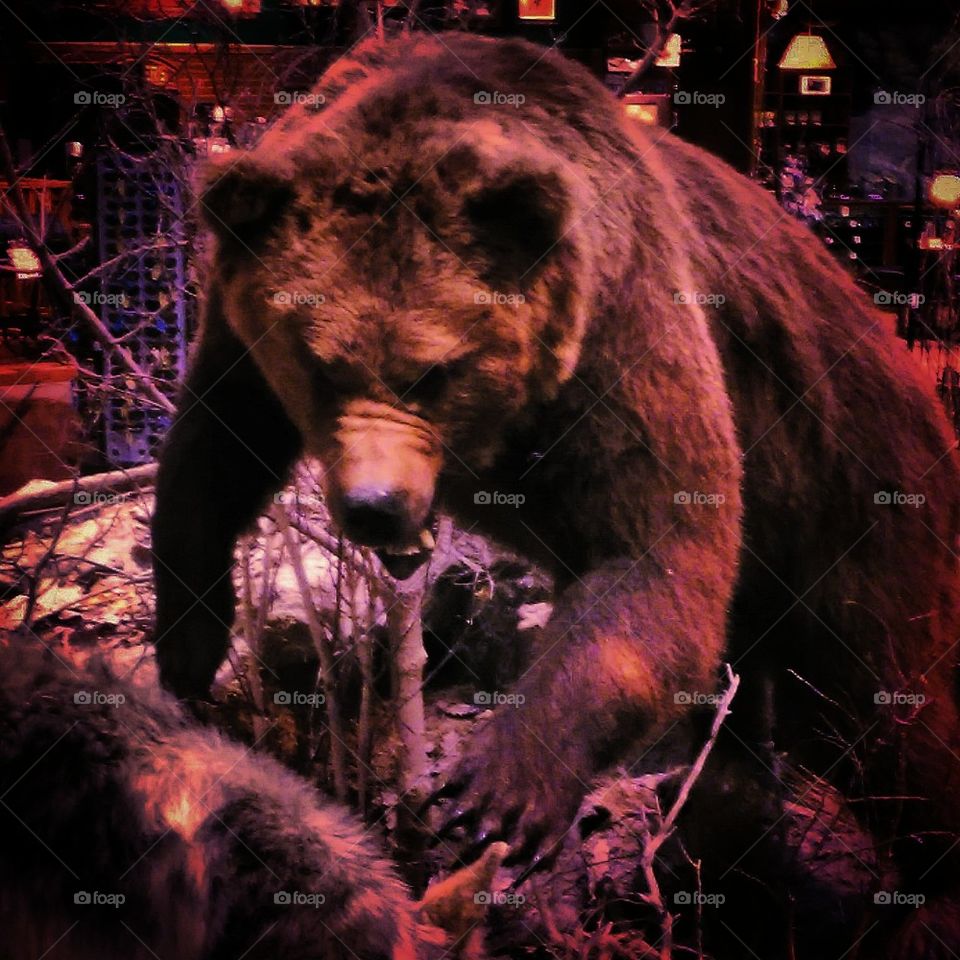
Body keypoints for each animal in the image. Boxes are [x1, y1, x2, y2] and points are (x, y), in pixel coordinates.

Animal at [151, 34, 960, 955]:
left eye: (434, 370)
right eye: (318, 363)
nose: (375, 504)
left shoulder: (628, 330)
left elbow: (655, 551)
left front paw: (496, 791)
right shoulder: (238, 336)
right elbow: (209, 454)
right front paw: (186, 644)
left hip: (859, 511)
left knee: (888, 707)